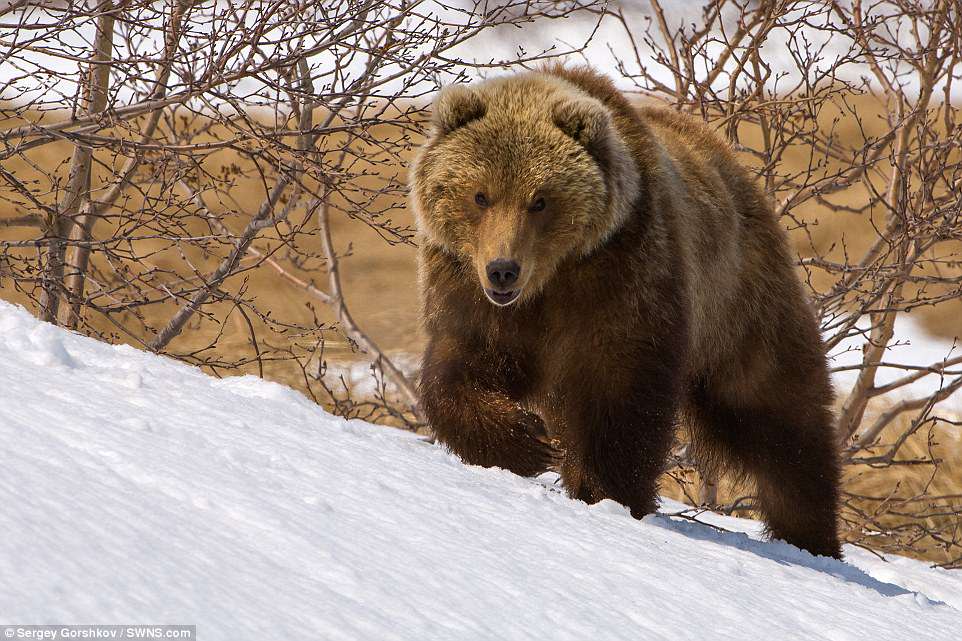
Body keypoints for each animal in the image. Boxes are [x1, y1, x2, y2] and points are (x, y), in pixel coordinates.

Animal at [408, 62, 836, 556]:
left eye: (540, 200)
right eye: (480, 195)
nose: (502, 271)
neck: (549, 281)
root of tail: (726, 157)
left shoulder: (620, 274)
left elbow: (618, 393)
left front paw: (604, 490)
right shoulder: (470, 292)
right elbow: (456, 371)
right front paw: (529, 439)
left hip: (738, 300)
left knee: (776, 412)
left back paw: (811, 536)